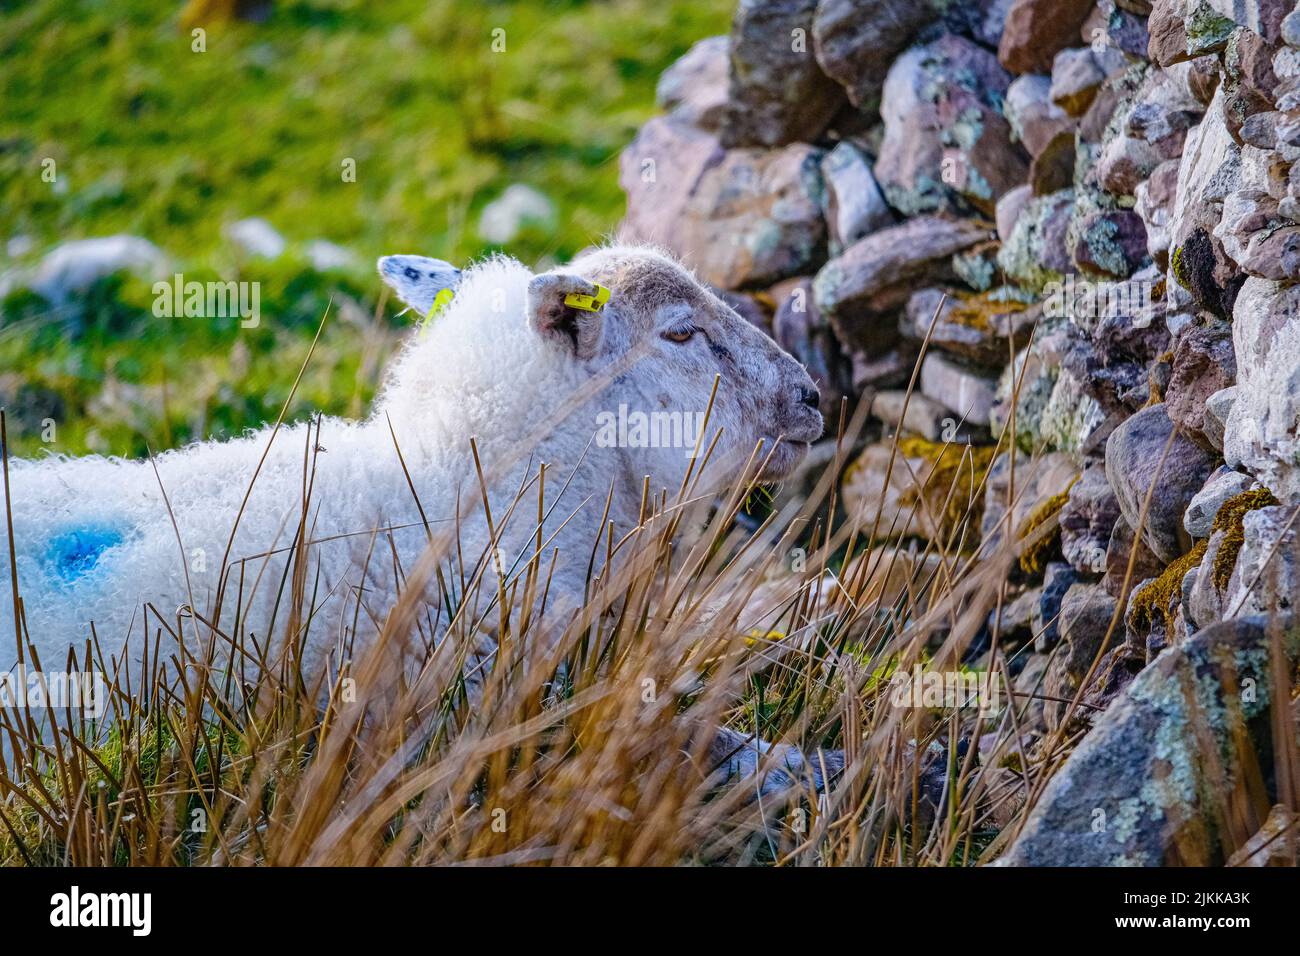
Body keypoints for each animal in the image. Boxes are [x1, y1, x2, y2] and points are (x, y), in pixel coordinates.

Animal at [1, 243, 835, 792]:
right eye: (681, 332)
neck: (454, 488)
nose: (813, 395)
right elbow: (709, 747)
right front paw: (815, 768)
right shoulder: (494, 705)